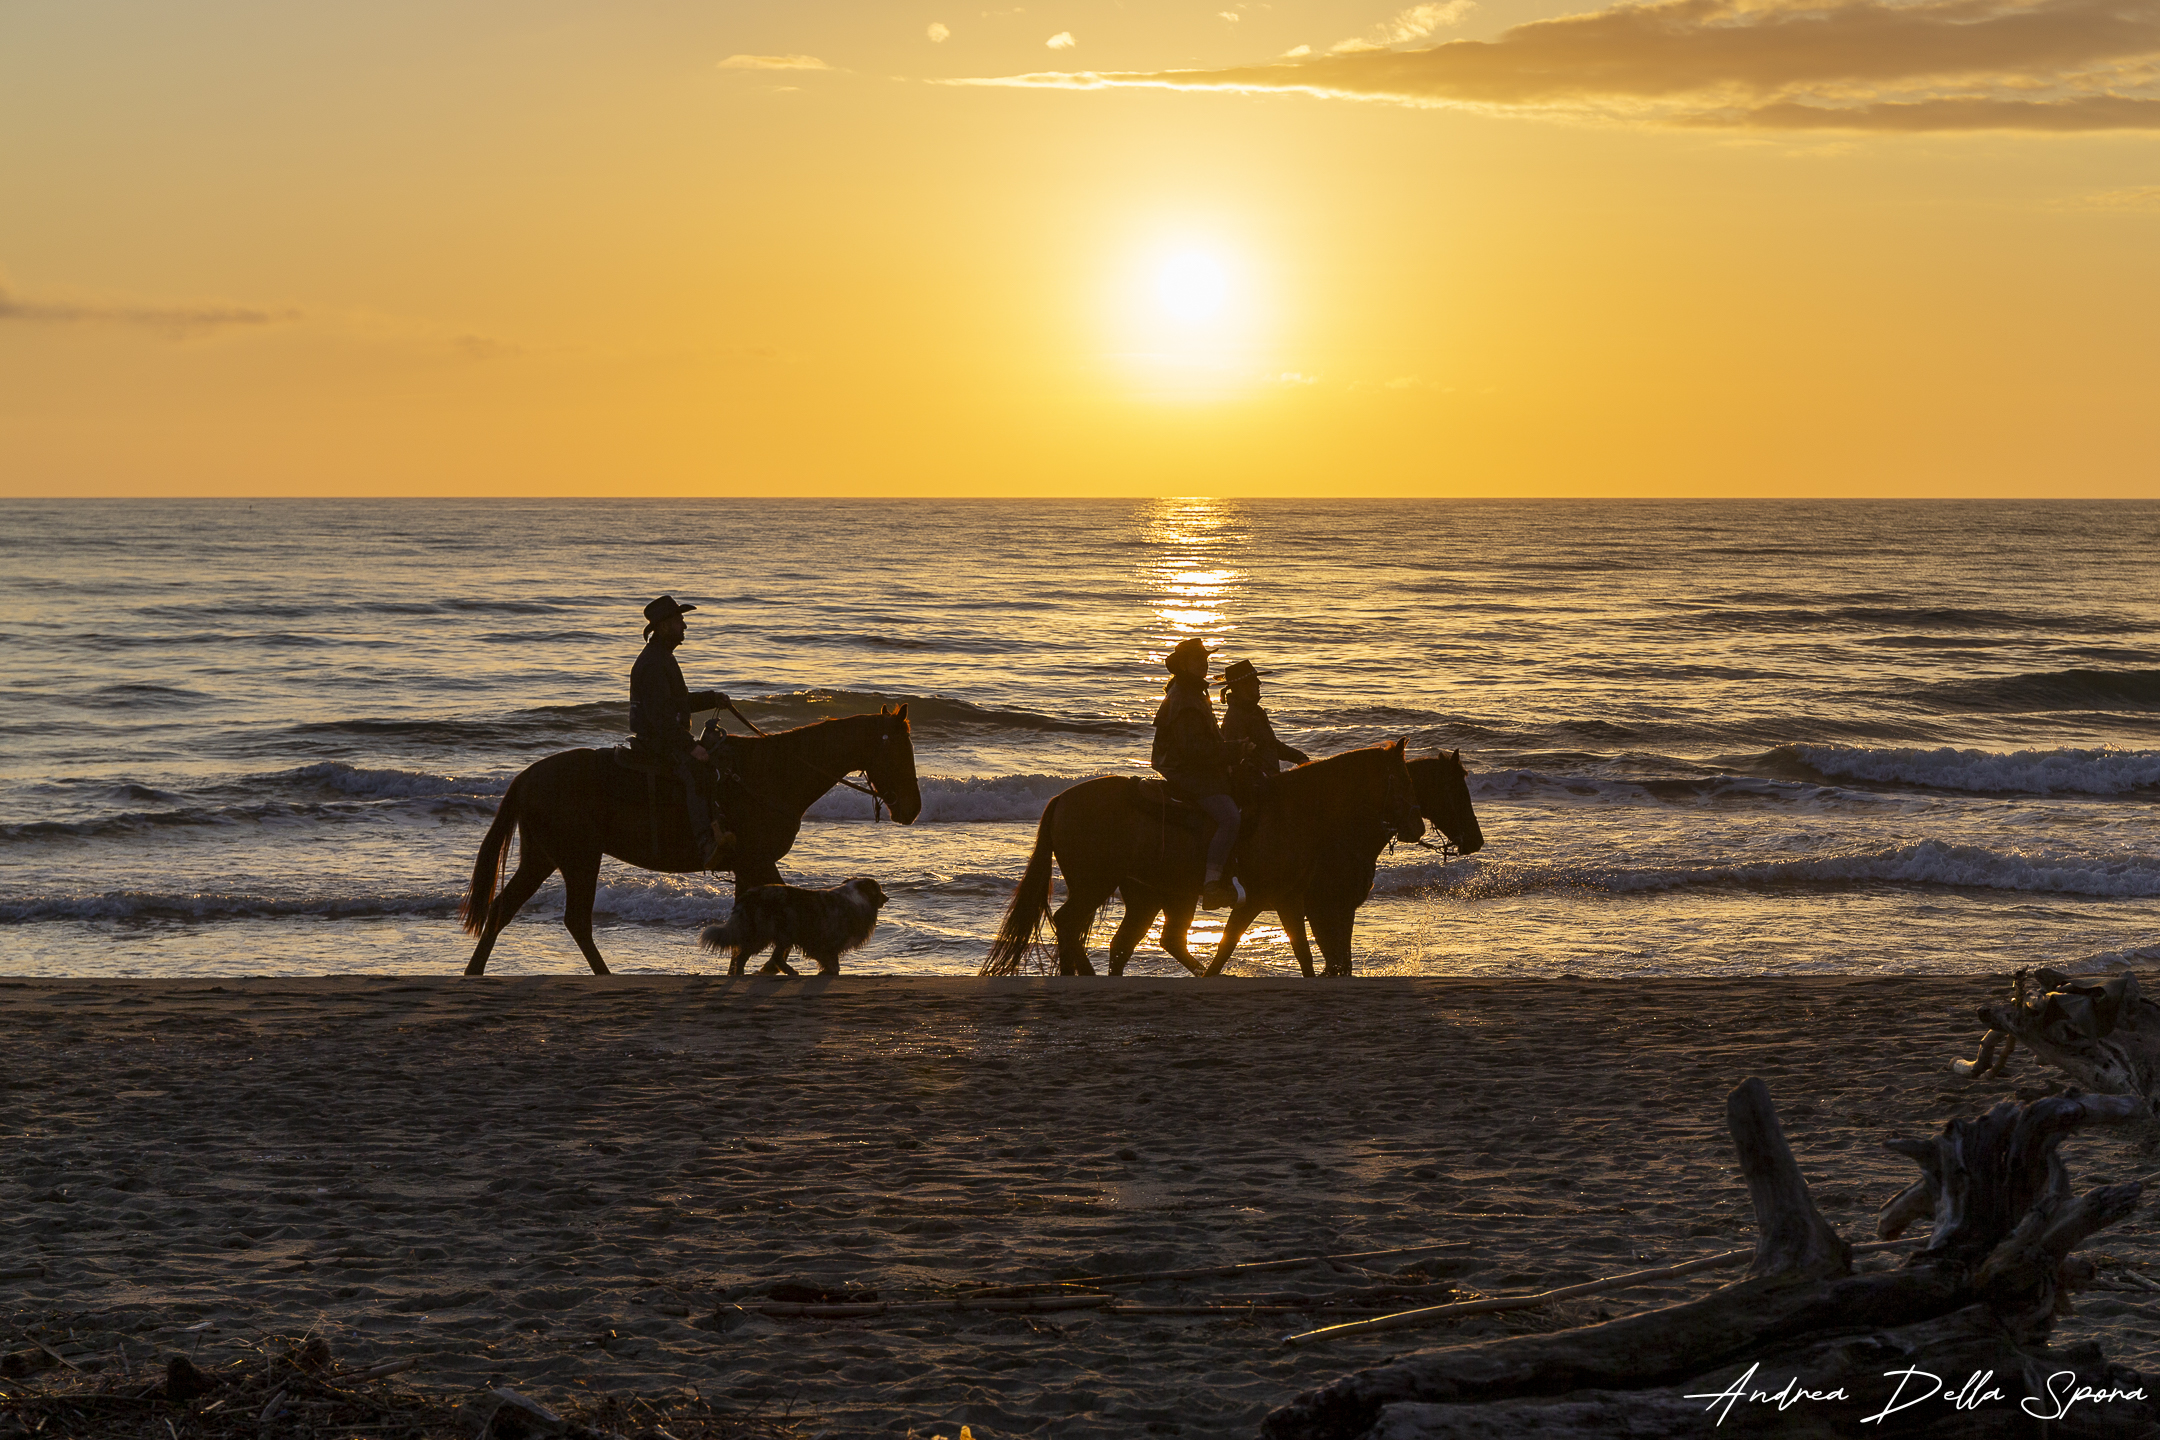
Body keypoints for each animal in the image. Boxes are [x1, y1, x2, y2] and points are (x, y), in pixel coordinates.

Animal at [699, 880, 885, 980]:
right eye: (879, 890)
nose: (887, 897)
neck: (857, 898)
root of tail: (748, 896)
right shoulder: (828, 940)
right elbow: (833, 961)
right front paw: (829, 972)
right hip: (768, 933)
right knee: (747, 955)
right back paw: (741, 974)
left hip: (783, 933)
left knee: (771, 956)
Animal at [984, 742, 1425, 980]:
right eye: (1404, 780)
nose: (1418, 826)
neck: (1293, 810)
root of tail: (1061, 799)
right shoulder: (1261, 899)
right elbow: (1231, 942)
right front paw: (1213, 974)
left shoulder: (1287, 900)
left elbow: (1300, 951)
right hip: (1096, 883)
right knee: (1069, 925)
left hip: (1141, 895)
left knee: (1120, 940)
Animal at [1105, 755, 1477, 980]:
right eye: (1456, 789)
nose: (1476, 840)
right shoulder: (1314, 904)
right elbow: (1328, 959)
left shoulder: (1326, 905)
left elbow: (1331, 959)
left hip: (1155, 897)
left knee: (1138, 944)